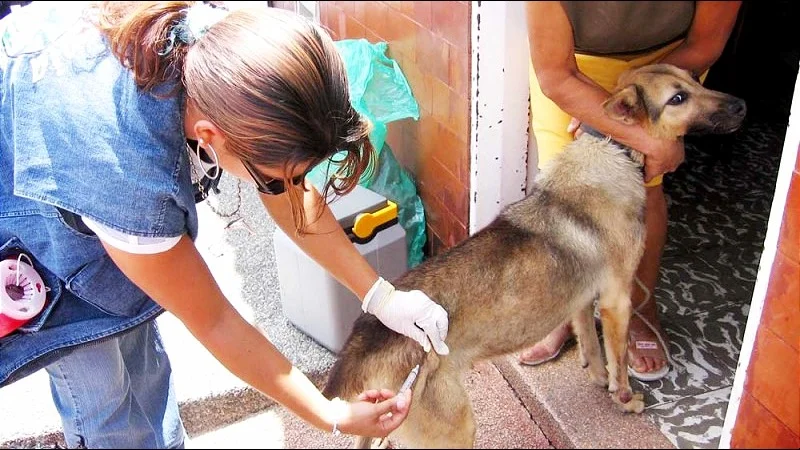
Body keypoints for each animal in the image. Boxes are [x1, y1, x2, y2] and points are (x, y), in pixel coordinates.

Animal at [323, 63, 746, 448]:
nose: (742, 104)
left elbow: (591, 346)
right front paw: (623, 399)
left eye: (694, 78)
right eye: (678, 98)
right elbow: (619, 362)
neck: (610, 145)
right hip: (454, 429)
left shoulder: (581, 297)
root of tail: (360, 341)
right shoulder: (616, 300)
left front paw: (596, 377)